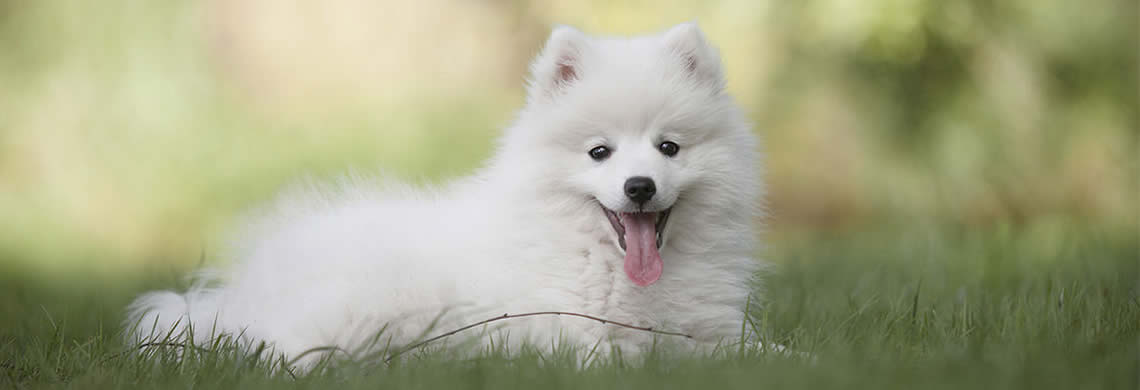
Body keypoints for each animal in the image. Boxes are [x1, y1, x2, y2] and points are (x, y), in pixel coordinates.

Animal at [127, 22, 766, 367]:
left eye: (669, 148)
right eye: (599, 153)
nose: (639, 186)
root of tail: (239, 294)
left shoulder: (713, 329)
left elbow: (757, 351)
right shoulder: (562, 330)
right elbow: (615, 353)